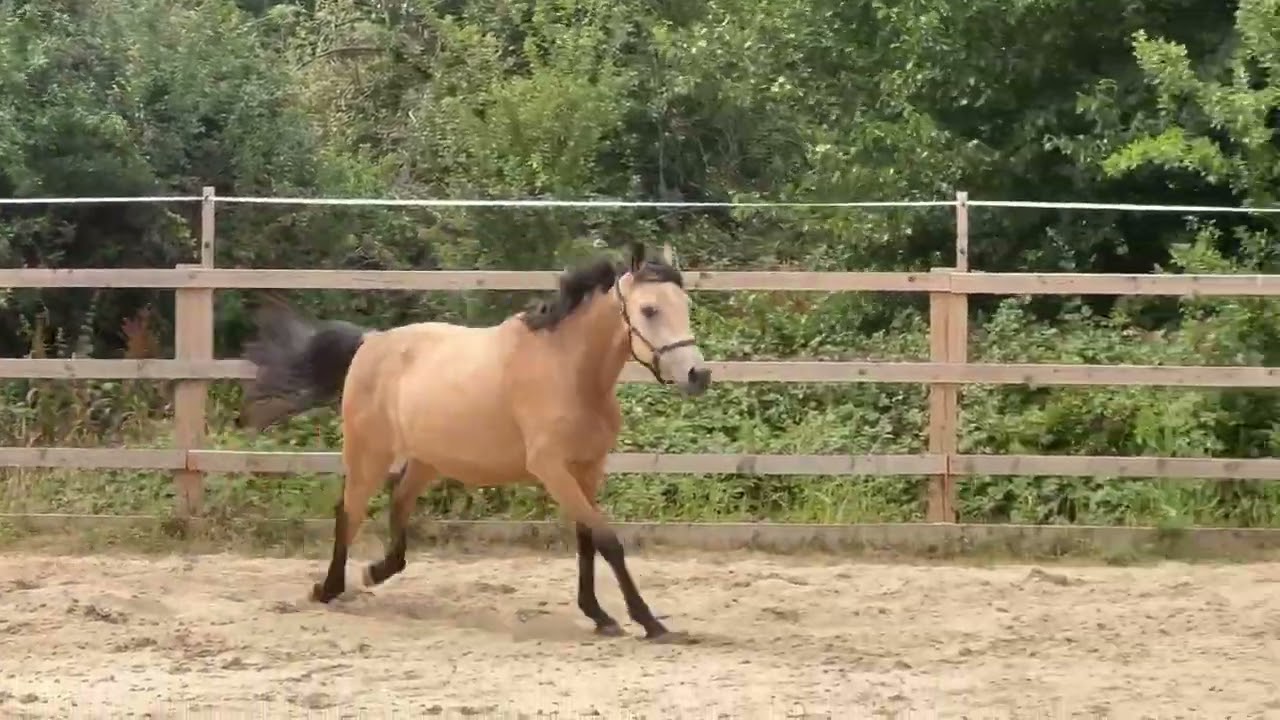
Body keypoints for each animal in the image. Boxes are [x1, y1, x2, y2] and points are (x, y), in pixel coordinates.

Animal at [237, 241, 712, 642]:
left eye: (686, 306)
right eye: (649, 309)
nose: (699, 375)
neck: (569, 372)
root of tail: (370, 342)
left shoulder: (587, 469)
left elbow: (587, 540)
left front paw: (599, 615)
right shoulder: (553, 469)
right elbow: (608, 541)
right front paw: (648, 622)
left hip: (426, 459)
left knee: (398, 501)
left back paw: (376, 571)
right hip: (367, 452)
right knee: (348, 512)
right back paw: (329, 588)